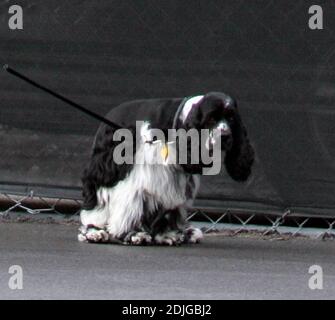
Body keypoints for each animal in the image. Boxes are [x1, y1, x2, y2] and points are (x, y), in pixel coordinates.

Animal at [77, 91, 253, 246]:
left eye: (231, 118)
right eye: (211, 118)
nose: (225, 136)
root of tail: (109, 115)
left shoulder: (178, 178)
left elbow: (169, 207)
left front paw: (168, 235)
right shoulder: (140, 174)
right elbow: (131, 205)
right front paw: (134, 234)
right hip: (105, 170)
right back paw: (94, 232)